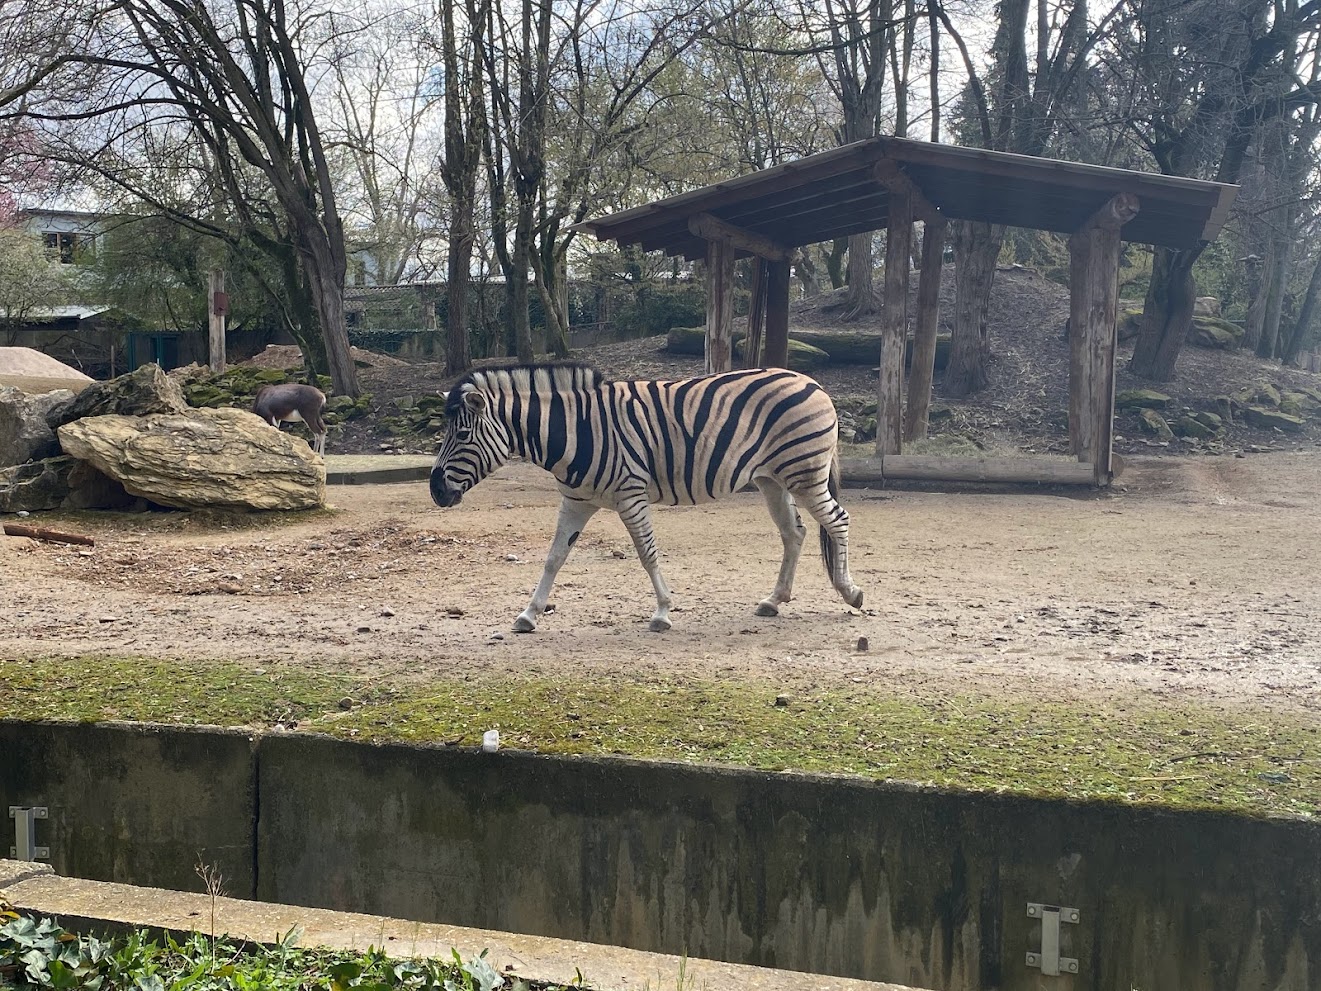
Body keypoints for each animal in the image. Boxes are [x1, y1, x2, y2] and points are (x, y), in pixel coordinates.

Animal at [429, 362, 863, 633]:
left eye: (462, 435)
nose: (435, 490)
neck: (576, 430)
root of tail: (811, 381)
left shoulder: (630, 495)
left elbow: (646, 553)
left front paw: (662, 613)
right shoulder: (576, 502)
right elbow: (554, 558)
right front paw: (528, 615)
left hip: (804, 474)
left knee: (837, 520)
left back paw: (851, 592)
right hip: (772, 480)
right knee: (795, 533)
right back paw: (774, 600)